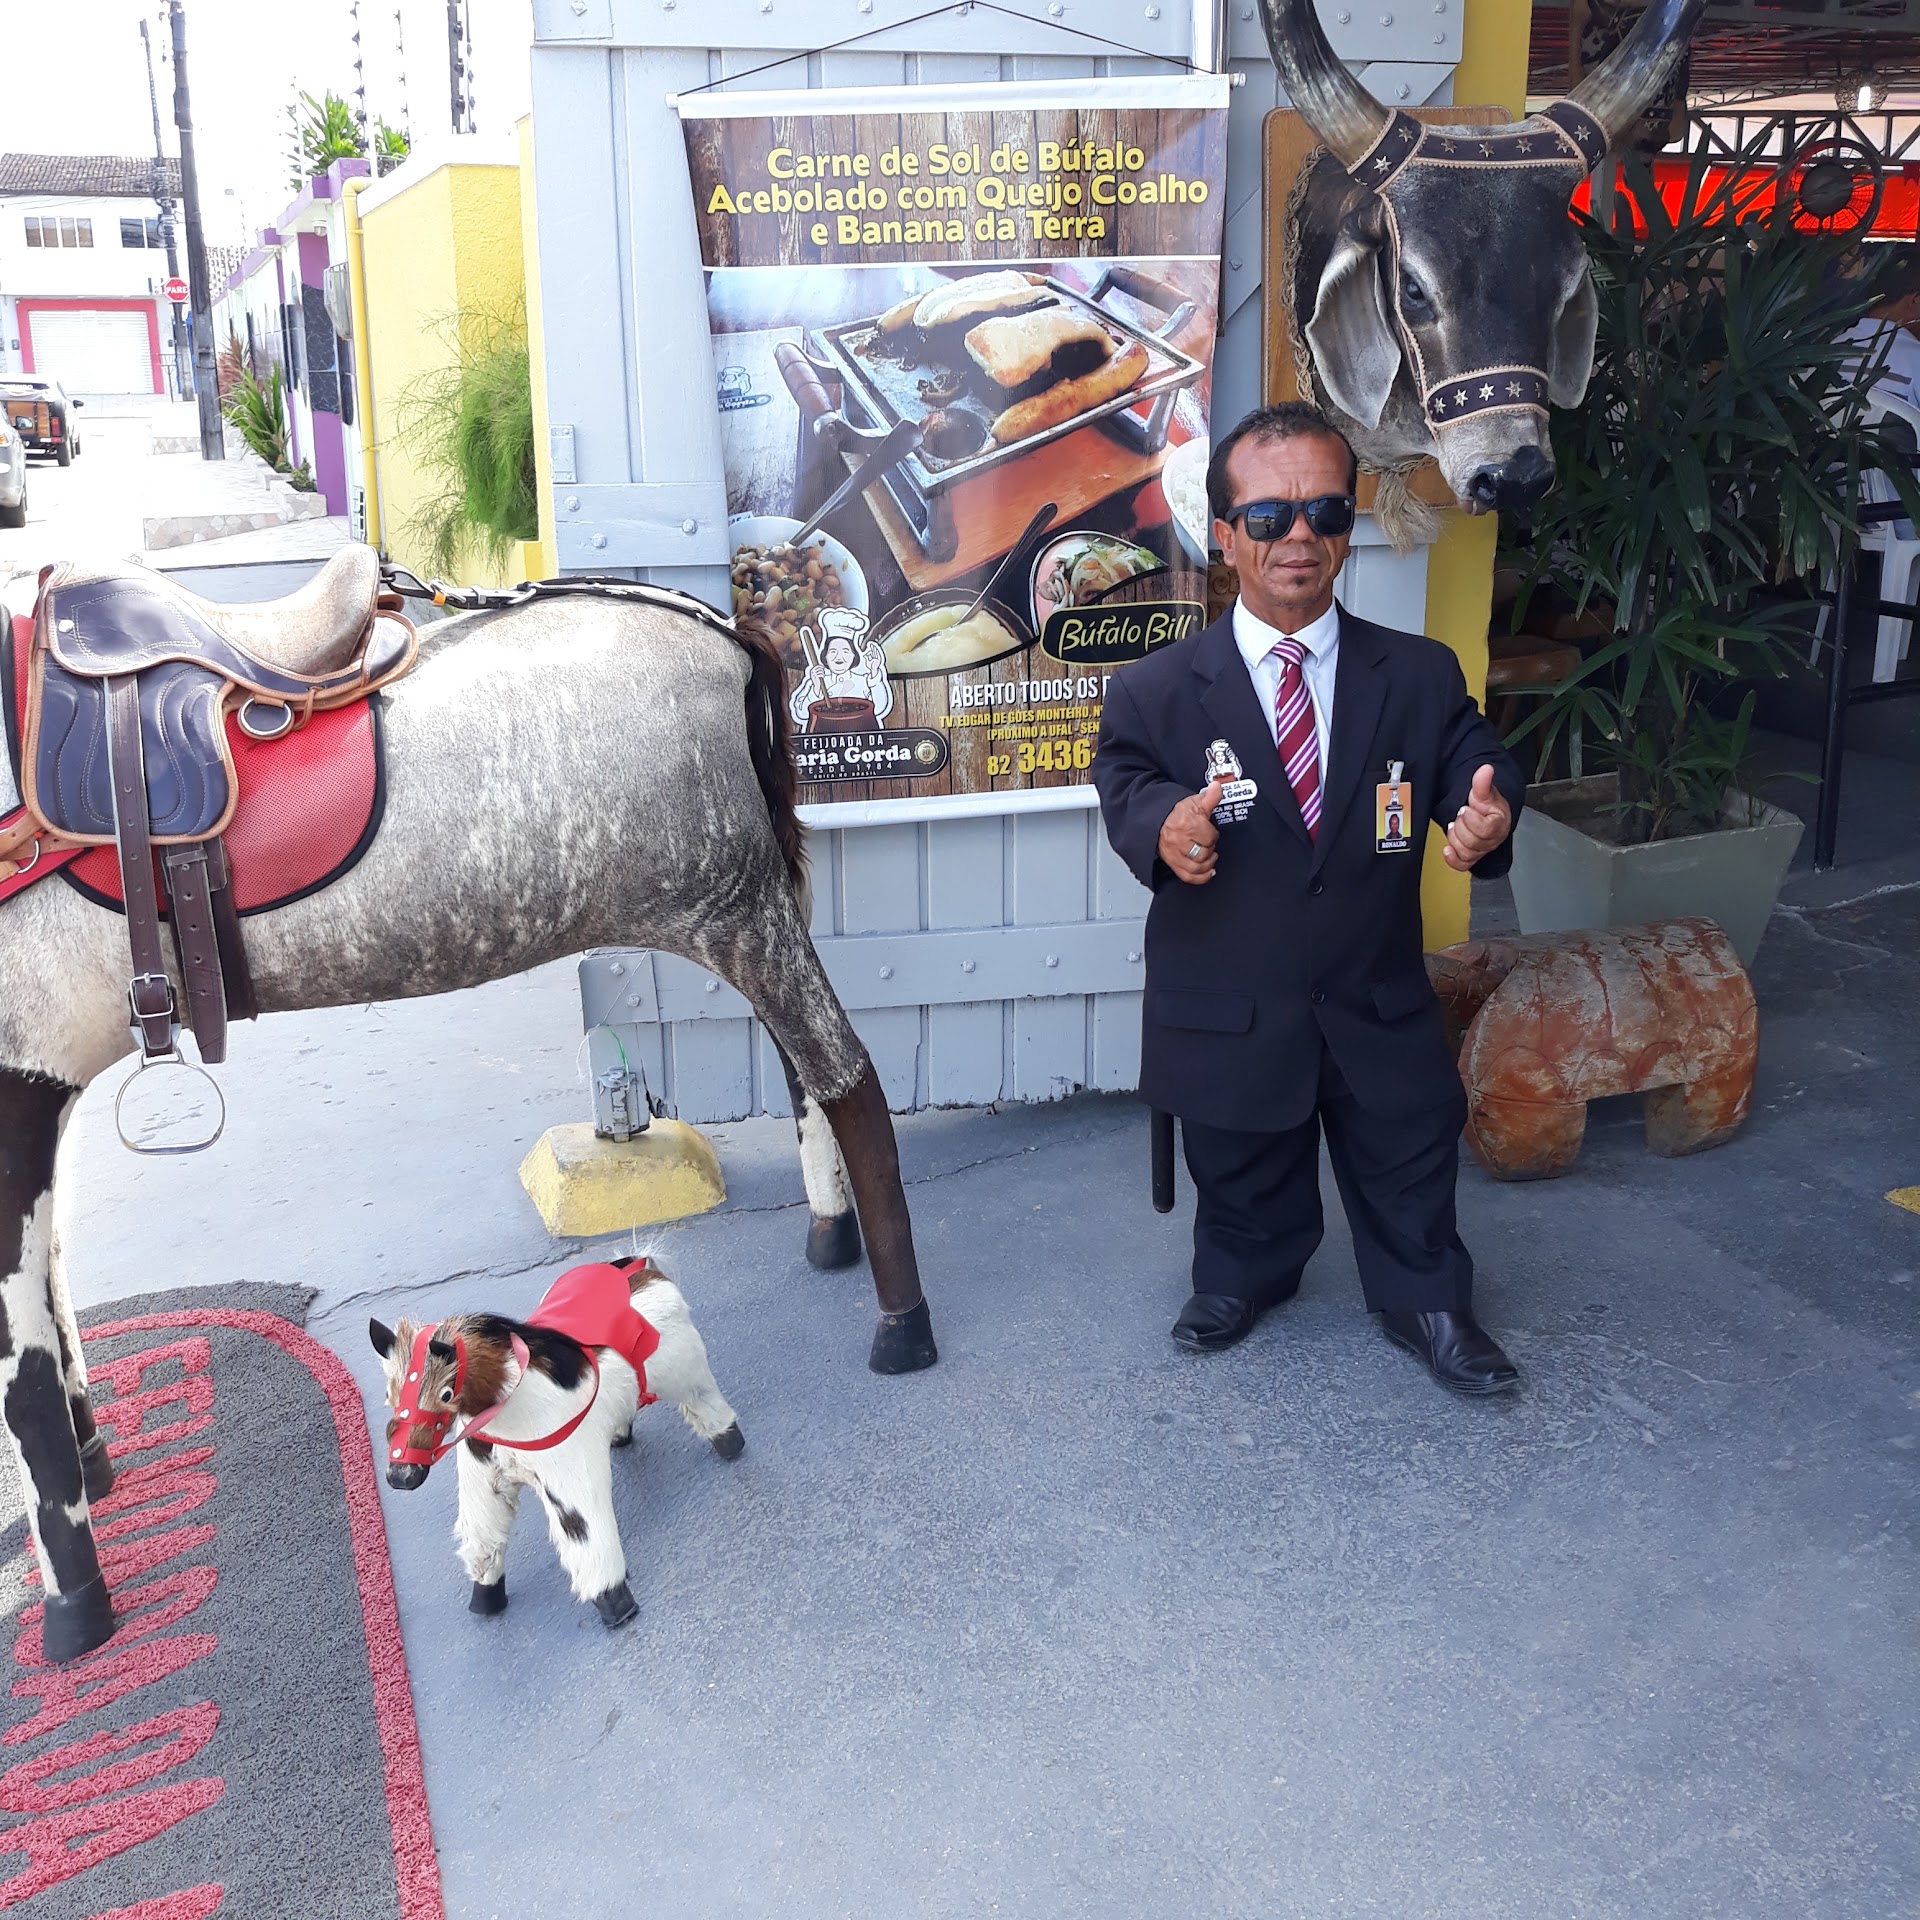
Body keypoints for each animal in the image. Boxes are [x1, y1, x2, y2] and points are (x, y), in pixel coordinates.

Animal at [369, 1255, 743, 1628]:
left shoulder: (568, 1478)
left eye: (446, 1394)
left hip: (688, 1373)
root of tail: (641, 1266)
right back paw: (621, 1434)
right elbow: (483, 1539)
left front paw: (617, 1606)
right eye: (389, 1396)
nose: (401, 1476)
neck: (514, 1404)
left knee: (706, 1404)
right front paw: (485, 1598)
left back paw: (730, 1442)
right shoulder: (483, 1484)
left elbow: (585, 1537)